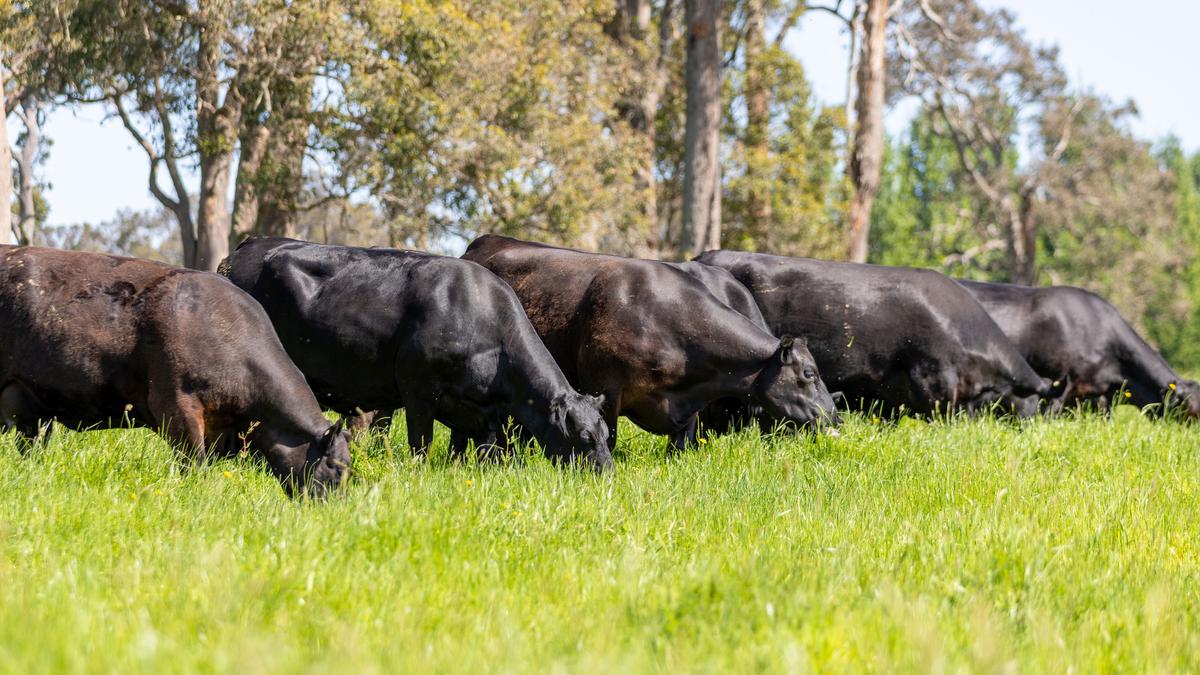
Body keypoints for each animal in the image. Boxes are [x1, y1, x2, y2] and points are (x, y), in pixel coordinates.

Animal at [219, 237, 613, 470]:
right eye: (584, 437)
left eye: (605, 433)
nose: (607, 476)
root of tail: (247, 246)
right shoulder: (418, 393)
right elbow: (421, 444)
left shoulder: (483, 413)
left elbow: (472, 449)